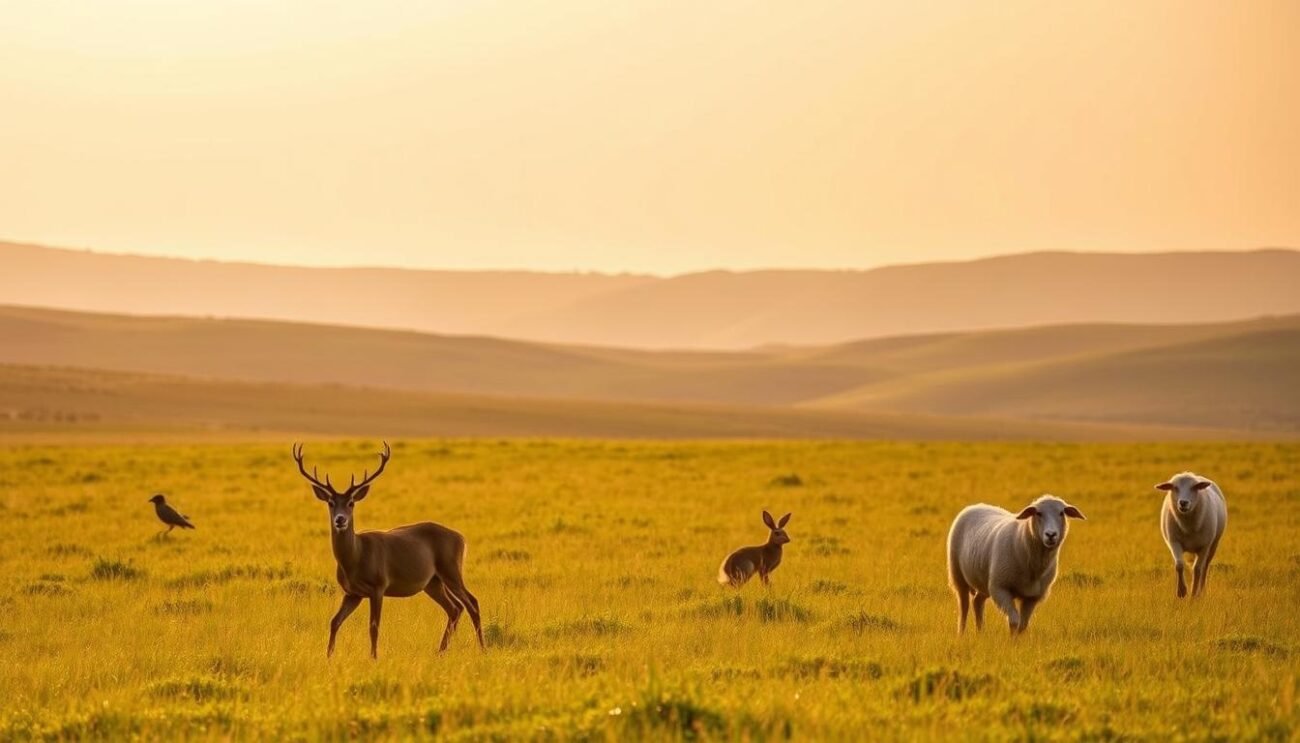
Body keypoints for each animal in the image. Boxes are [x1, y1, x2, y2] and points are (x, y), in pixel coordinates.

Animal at [292, 442, 484, 658]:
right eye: (331, 503)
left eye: (351, 503)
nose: (340, 519)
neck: (356, 557)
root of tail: (461, 538)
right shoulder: (352, 593)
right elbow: (334, 621)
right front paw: (329, 656)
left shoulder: (378, 586)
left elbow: (374, 626)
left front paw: (374, 657)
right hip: (432, 582)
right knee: (455, 608)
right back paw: (440, 651)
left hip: (450, 568)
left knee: (472, 602)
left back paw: (482, 648)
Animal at [947, 495, 1086, 635]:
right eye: (1038, 513)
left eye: (1061, 513)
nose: (1051, 535)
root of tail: (975, 505)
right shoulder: (1000, 589)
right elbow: (1014, 621)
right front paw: (1011, 640)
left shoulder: (1032, 597)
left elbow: (1023, 625)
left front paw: (1017, 640)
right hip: (958, 575)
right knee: (964, 607)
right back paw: (961, 634)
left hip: (985, 582)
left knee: (977, 602)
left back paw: (980, 632)